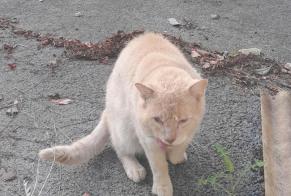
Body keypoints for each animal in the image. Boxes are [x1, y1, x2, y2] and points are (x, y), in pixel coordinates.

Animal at [39, 31, 208, 194]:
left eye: (183, 121)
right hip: (124, 128)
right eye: (157, 120)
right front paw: (162, 188)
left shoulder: (191, 129)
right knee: (120, 149)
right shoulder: (148, 139)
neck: (164, 67)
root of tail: (106, 112)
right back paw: (135, 168)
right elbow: (159, 166)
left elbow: (180, 147)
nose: (169, 139)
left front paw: (175, 154)